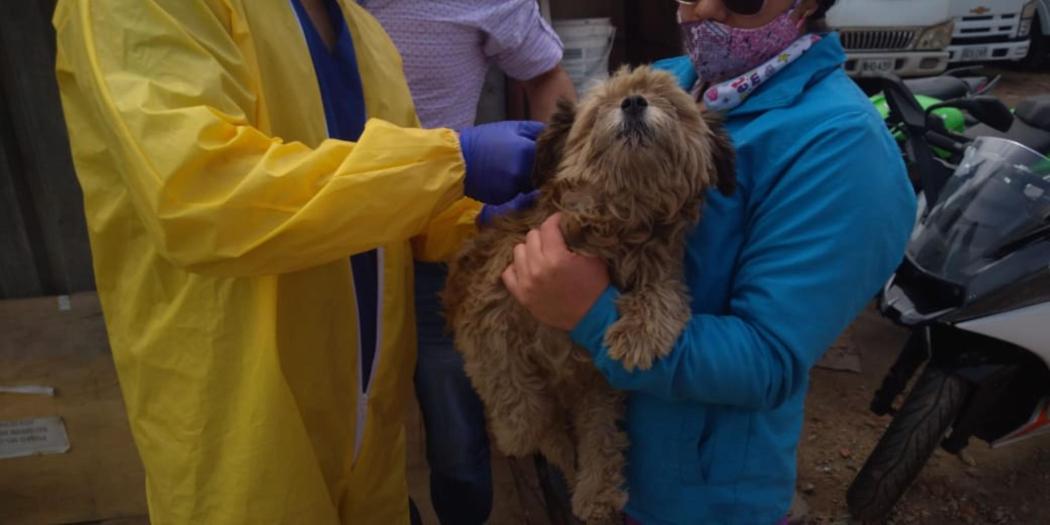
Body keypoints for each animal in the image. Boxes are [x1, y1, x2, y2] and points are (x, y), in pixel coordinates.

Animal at [440, 67, 730, 522]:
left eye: (670, 102)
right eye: (600, 108)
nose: (633, 102)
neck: (617, 225)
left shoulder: (602, 377)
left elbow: (665, 291)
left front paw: (640, 331)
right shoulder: (485, 307)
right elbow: (517, 399)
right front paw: (520, 428)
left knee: (595, 436)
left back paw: (595, 492)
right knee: (548, 428)